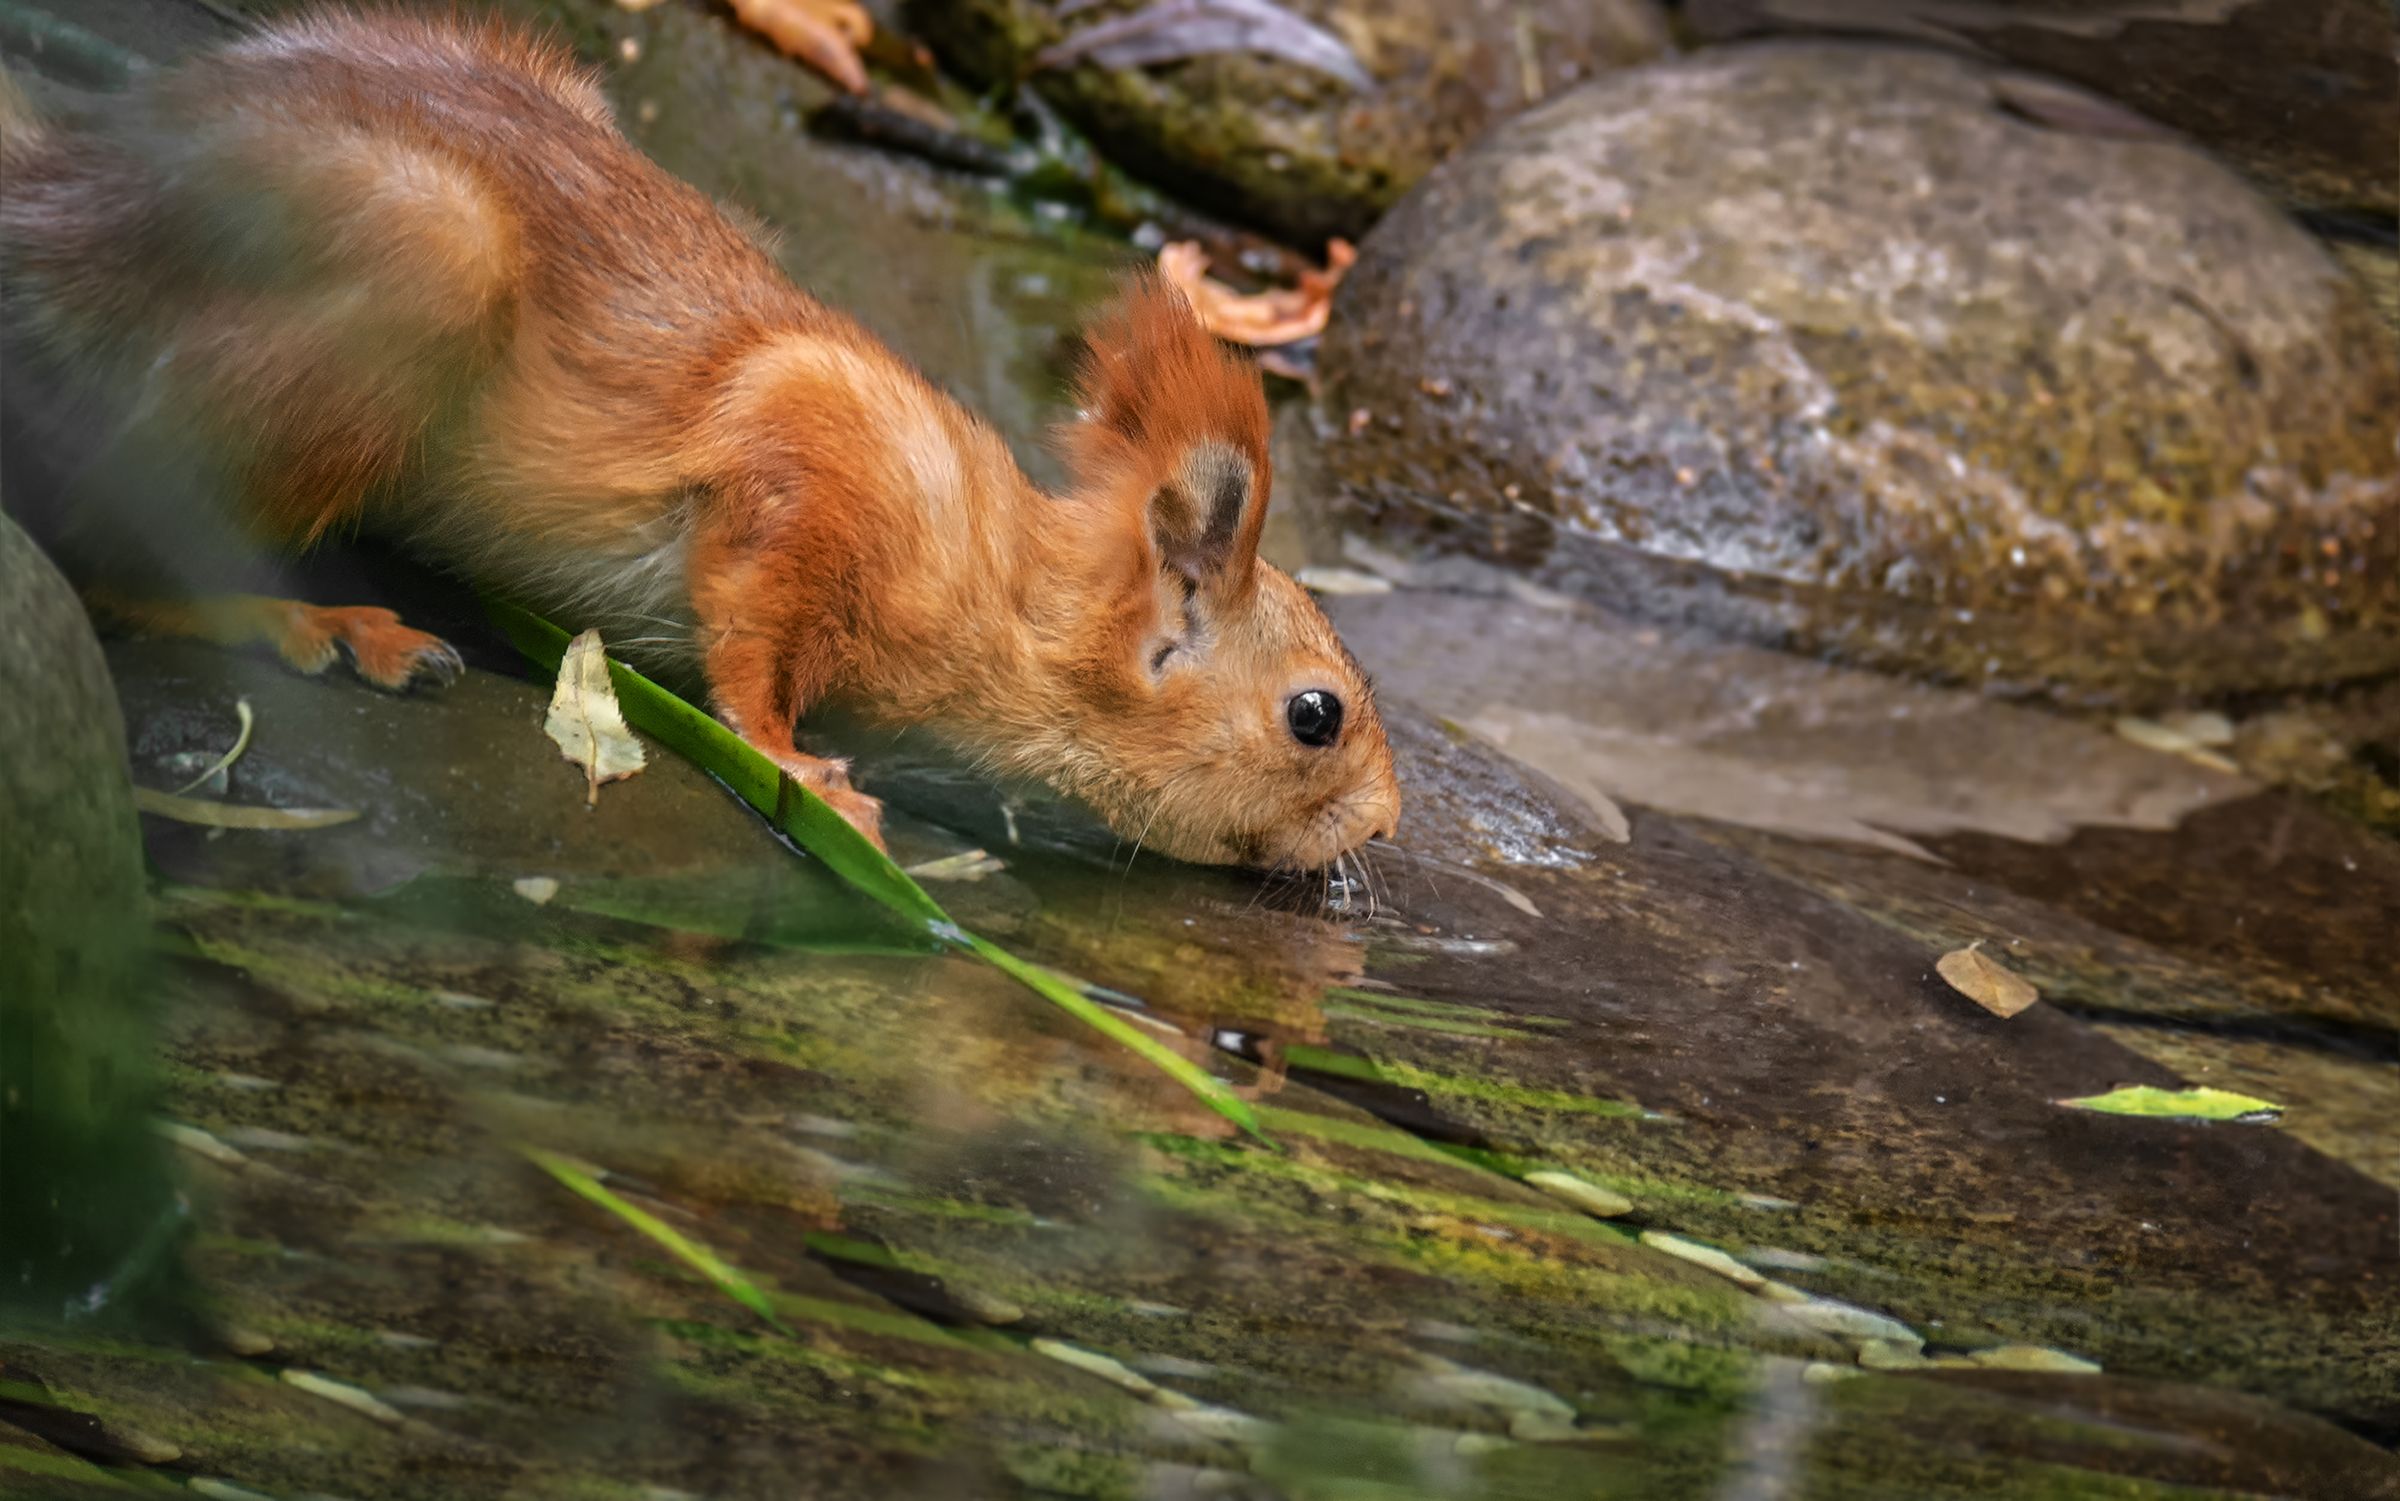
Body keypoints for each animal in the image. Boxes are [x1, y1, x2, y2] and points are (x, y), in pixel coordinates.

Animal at [0, 11, 1401, 874]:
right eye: (1314, 716)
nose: (1385, 830)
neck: (997, 576)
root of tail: (72, 200)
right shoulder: (808, 461)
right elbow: (749, 631)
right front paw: (796, 767)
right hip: (408, 272)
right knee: (109, 538)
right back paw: (317, 623)